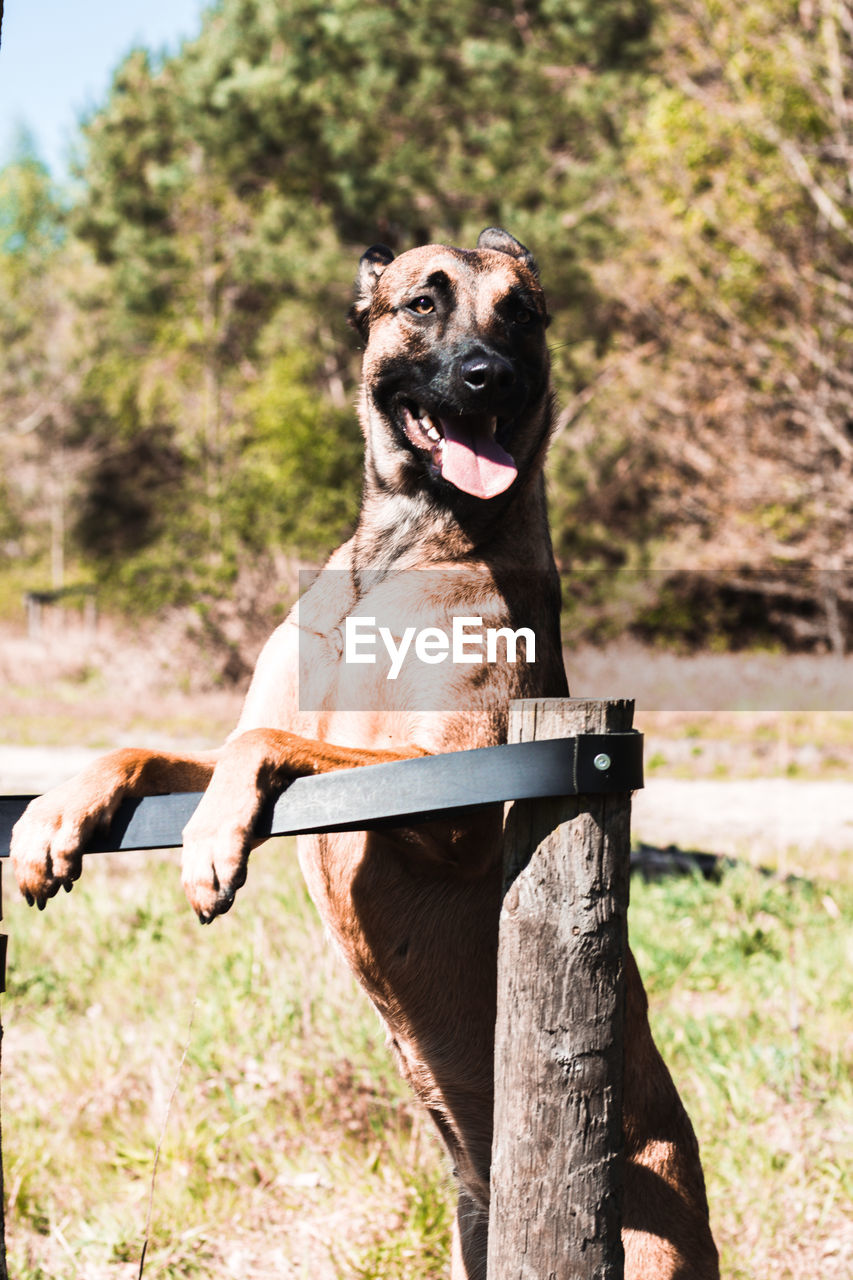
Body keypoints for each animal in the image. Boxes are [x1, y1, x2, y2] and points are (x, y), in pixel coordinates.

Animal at [13, 230, 717, 1280]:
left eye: (520, 313)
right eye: (422, 302)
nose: (487, 374)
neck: (394, 554)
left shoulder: (450, 800)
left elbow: (269, 744)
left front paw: (212, 842)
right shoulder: (239, 741)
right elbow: (152, 748)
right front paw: (53, 815)